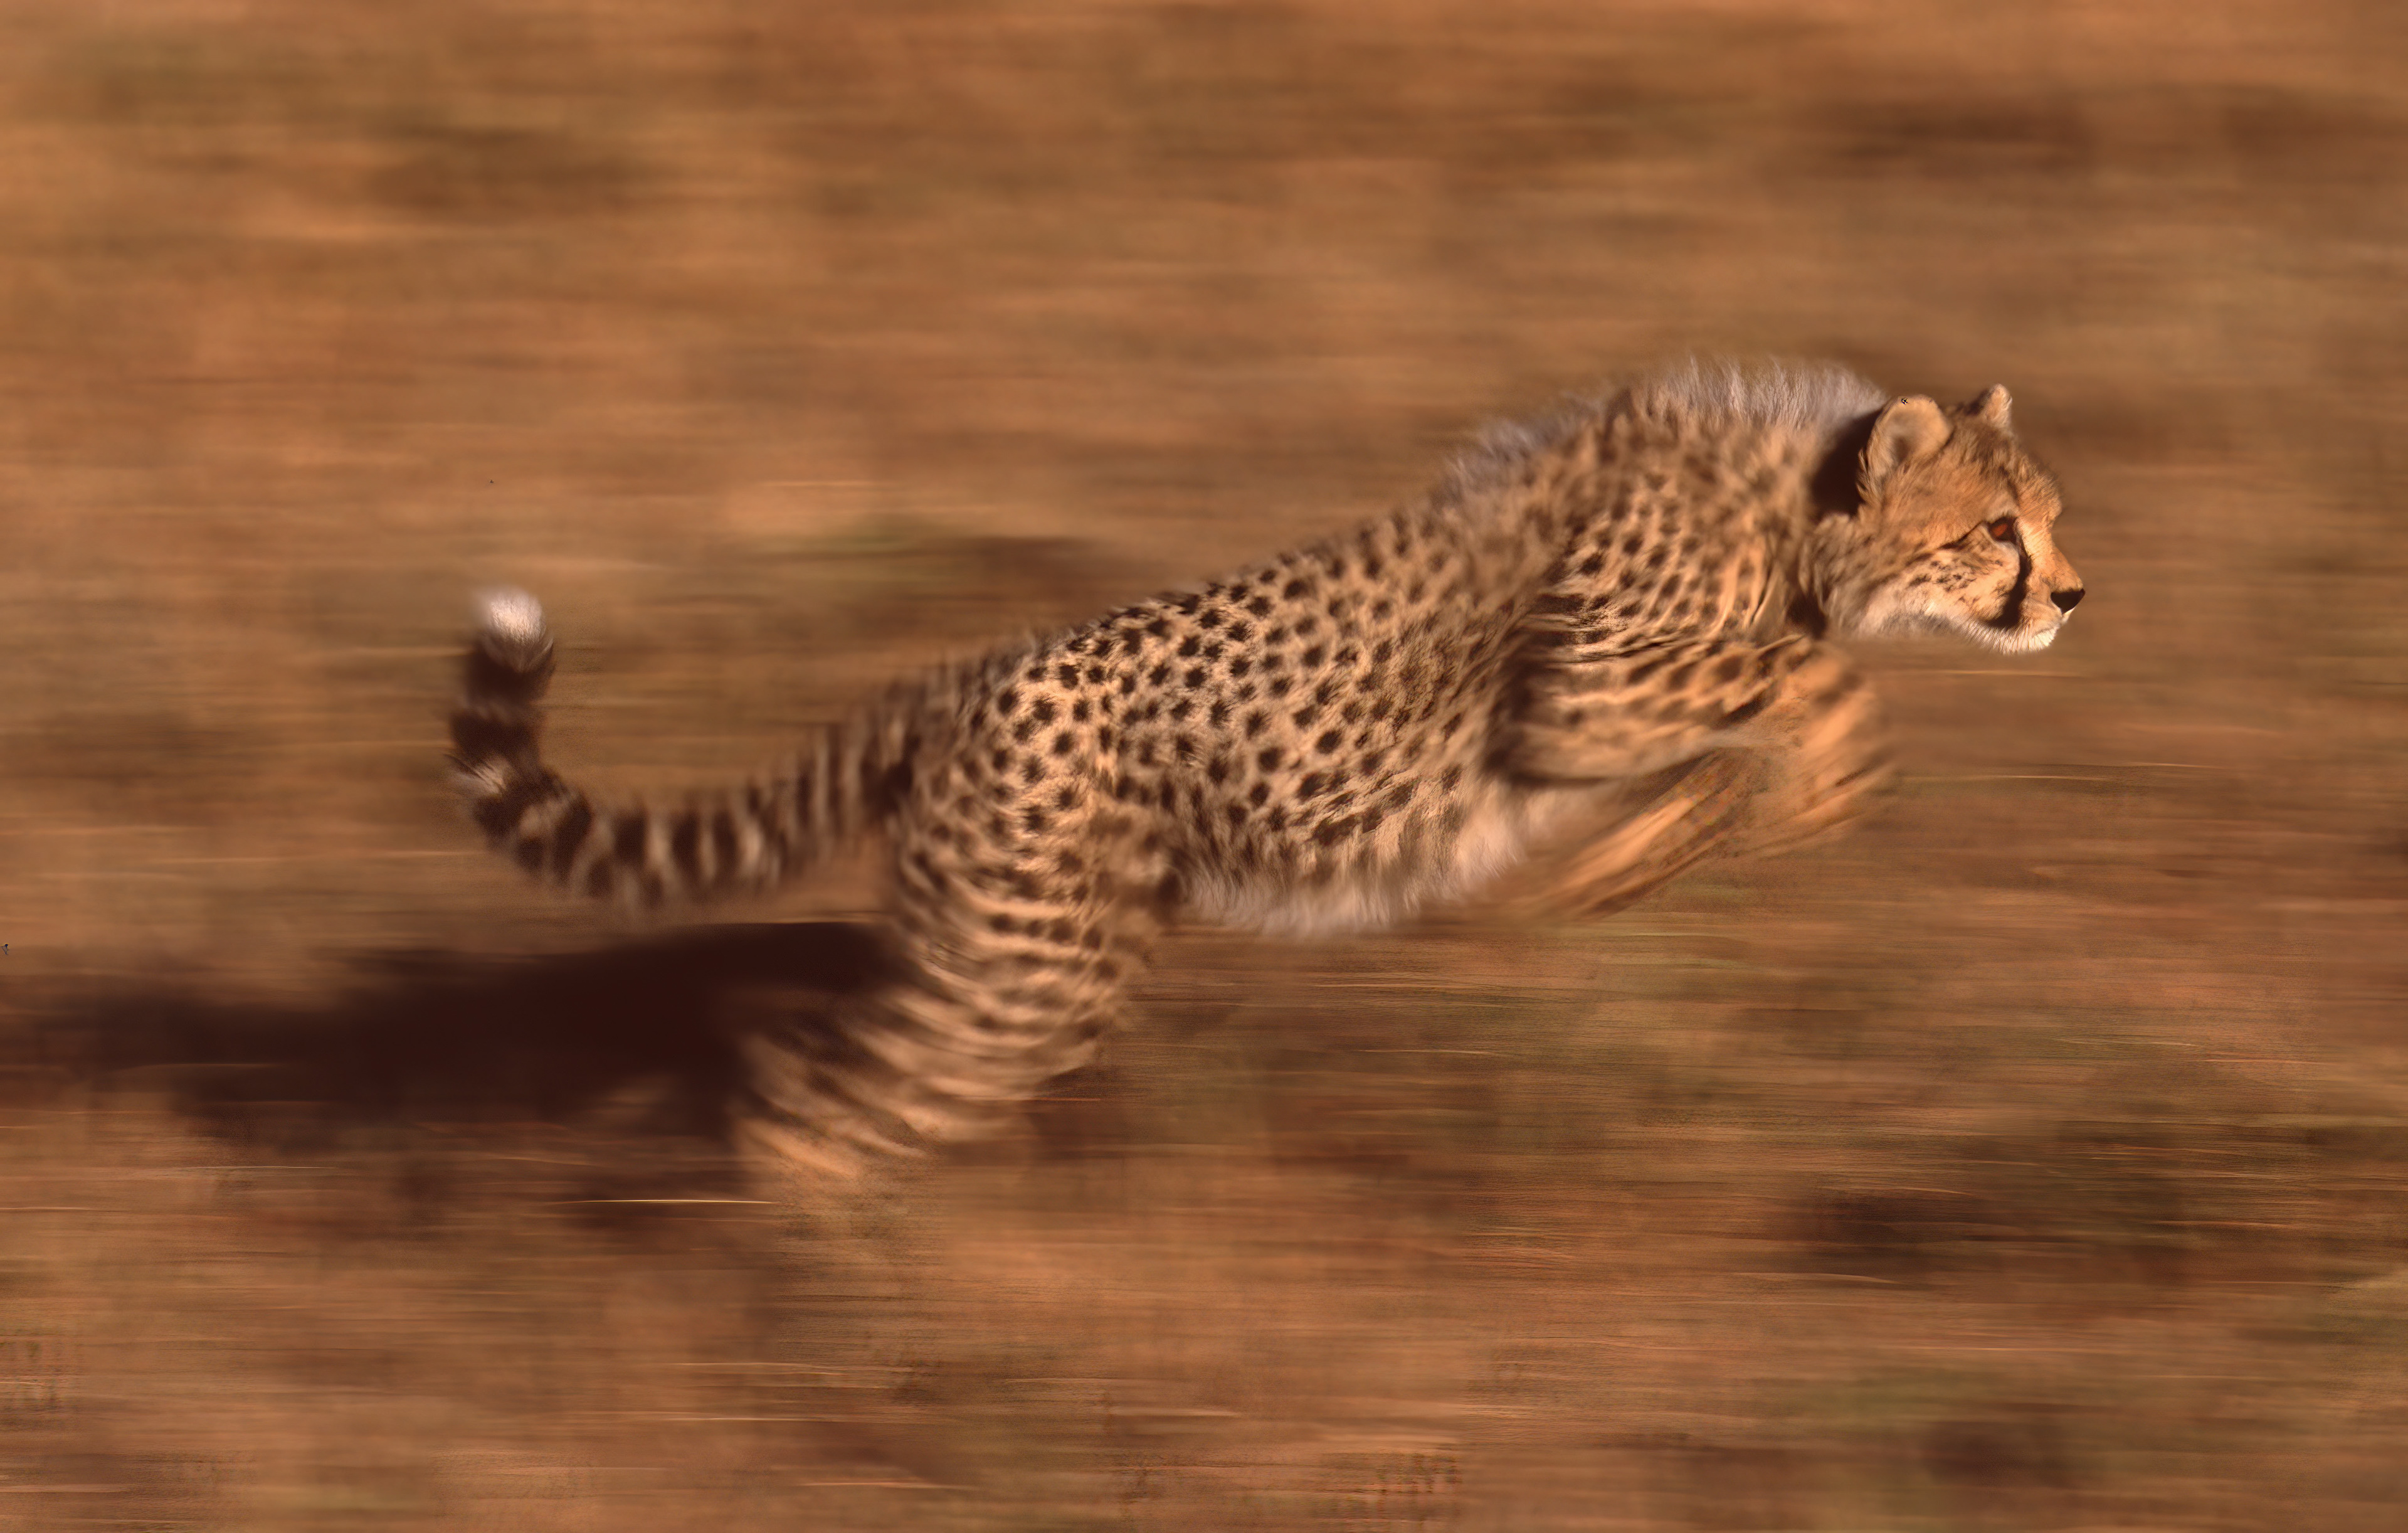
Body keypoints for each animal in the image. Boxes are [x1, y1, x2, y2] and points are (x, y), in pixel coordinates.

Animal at [448, 360, 2084, 1178]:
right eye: (1995, 530)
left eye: (2048, 517)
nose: (2069, 596)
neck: (1790, 508)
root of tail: (964, 675)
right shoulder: (1569, 699)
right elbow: (1815, 685)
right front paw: (1815, 787)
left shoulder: (1618, 722)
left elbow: (1726, 764)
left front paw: (1642, 864)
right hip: (1029, 967)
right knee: (821, 1104)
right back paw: (852, 1312)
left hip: (1042, 946)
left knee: (809, 1070)